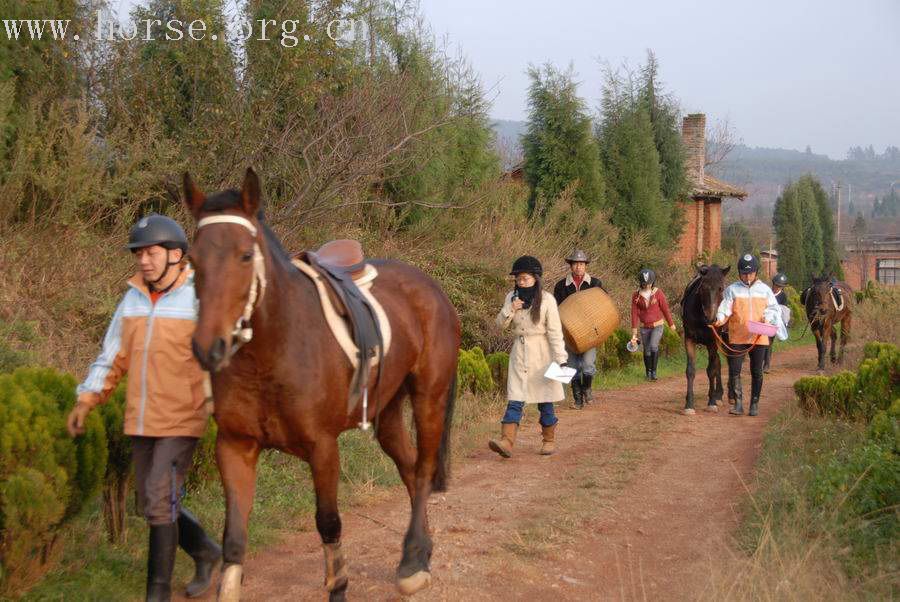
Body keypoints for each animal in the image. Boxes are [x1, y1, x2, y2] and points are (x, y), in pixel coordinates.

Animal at [185, 168, 464, 600]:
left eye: (245, 255)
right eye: (192, 259)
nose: (207, 346)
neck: (272, 351)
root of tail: (431, 287)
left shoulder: (322, 447)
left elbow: (329, 522)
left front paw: (339, 584)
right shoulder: (234, 446)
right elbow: (234, 537)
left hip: (428, 397)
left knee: (423, 470)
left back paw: (413, 563)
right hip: (388, 410)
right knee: (409, 466)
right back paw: (423, 549)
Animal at [684, 262, 732, 412]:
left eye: (720, 288)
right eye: (703, 287)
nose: (712, 318)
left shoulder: (712, 342)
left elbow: (711, 370)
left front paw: (711, 402)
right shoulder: (689, 339)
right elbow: (690, 370)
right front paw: (689, 404)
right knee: (718, 363)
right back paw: (719, 395)